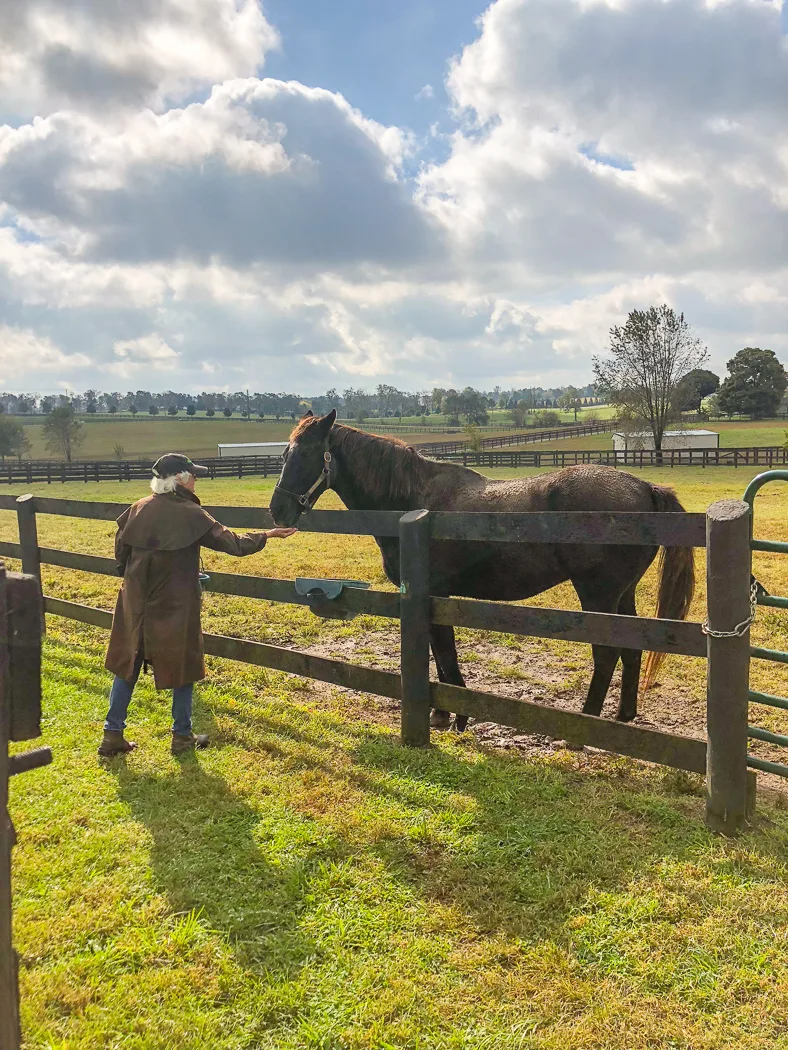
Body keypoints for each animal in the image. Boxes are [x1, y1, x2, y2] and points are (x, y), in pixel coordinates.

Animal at [271, 409, 697, 730]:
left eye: (308, 454)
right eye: (284, 454)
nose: (278, 511)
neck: (414, 500)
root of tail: (645, 488)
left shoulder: (434, 593)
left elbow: (445, 654)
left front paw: (453, 715)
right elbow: (438, 653)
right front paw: (444, 713)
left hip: (599, 595)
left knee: (607, 653)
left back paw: (585, 724)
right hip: (623, 595)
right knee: (631, 649)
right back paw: (623, 716)